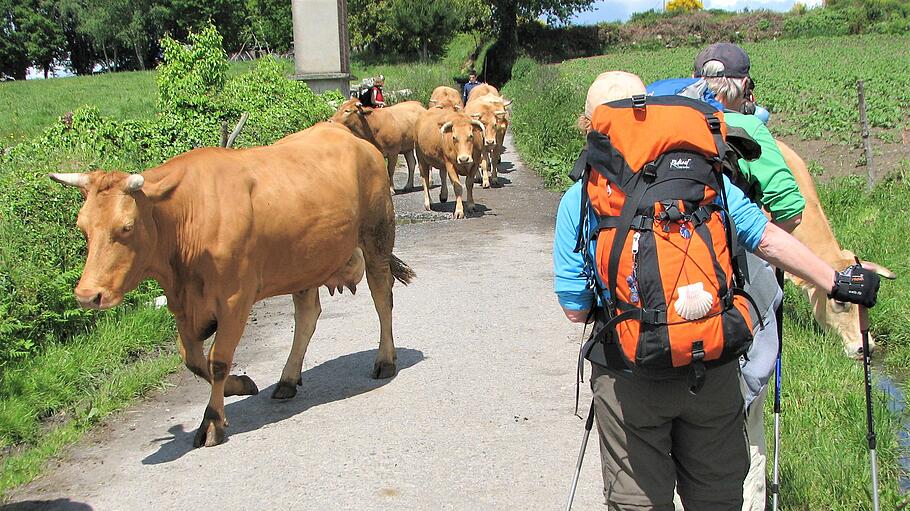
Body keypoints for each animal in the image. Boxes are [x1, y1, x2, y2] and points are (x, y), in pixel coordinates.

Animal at [49, 124, 416, 448]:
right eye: (82, 226)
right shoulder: (183, 305)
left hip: (376, 239)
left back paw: (385, 360)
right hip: (304, 261)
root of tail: (353, 139)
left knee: (382, 298)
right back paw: (287, 379)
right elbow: (191, 358)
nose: (88, 295)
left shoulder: (235, 299)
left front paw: (212, 421)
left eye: (126, 227)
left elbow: (218, 360)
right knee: (308, 317)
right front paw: (237, 386)